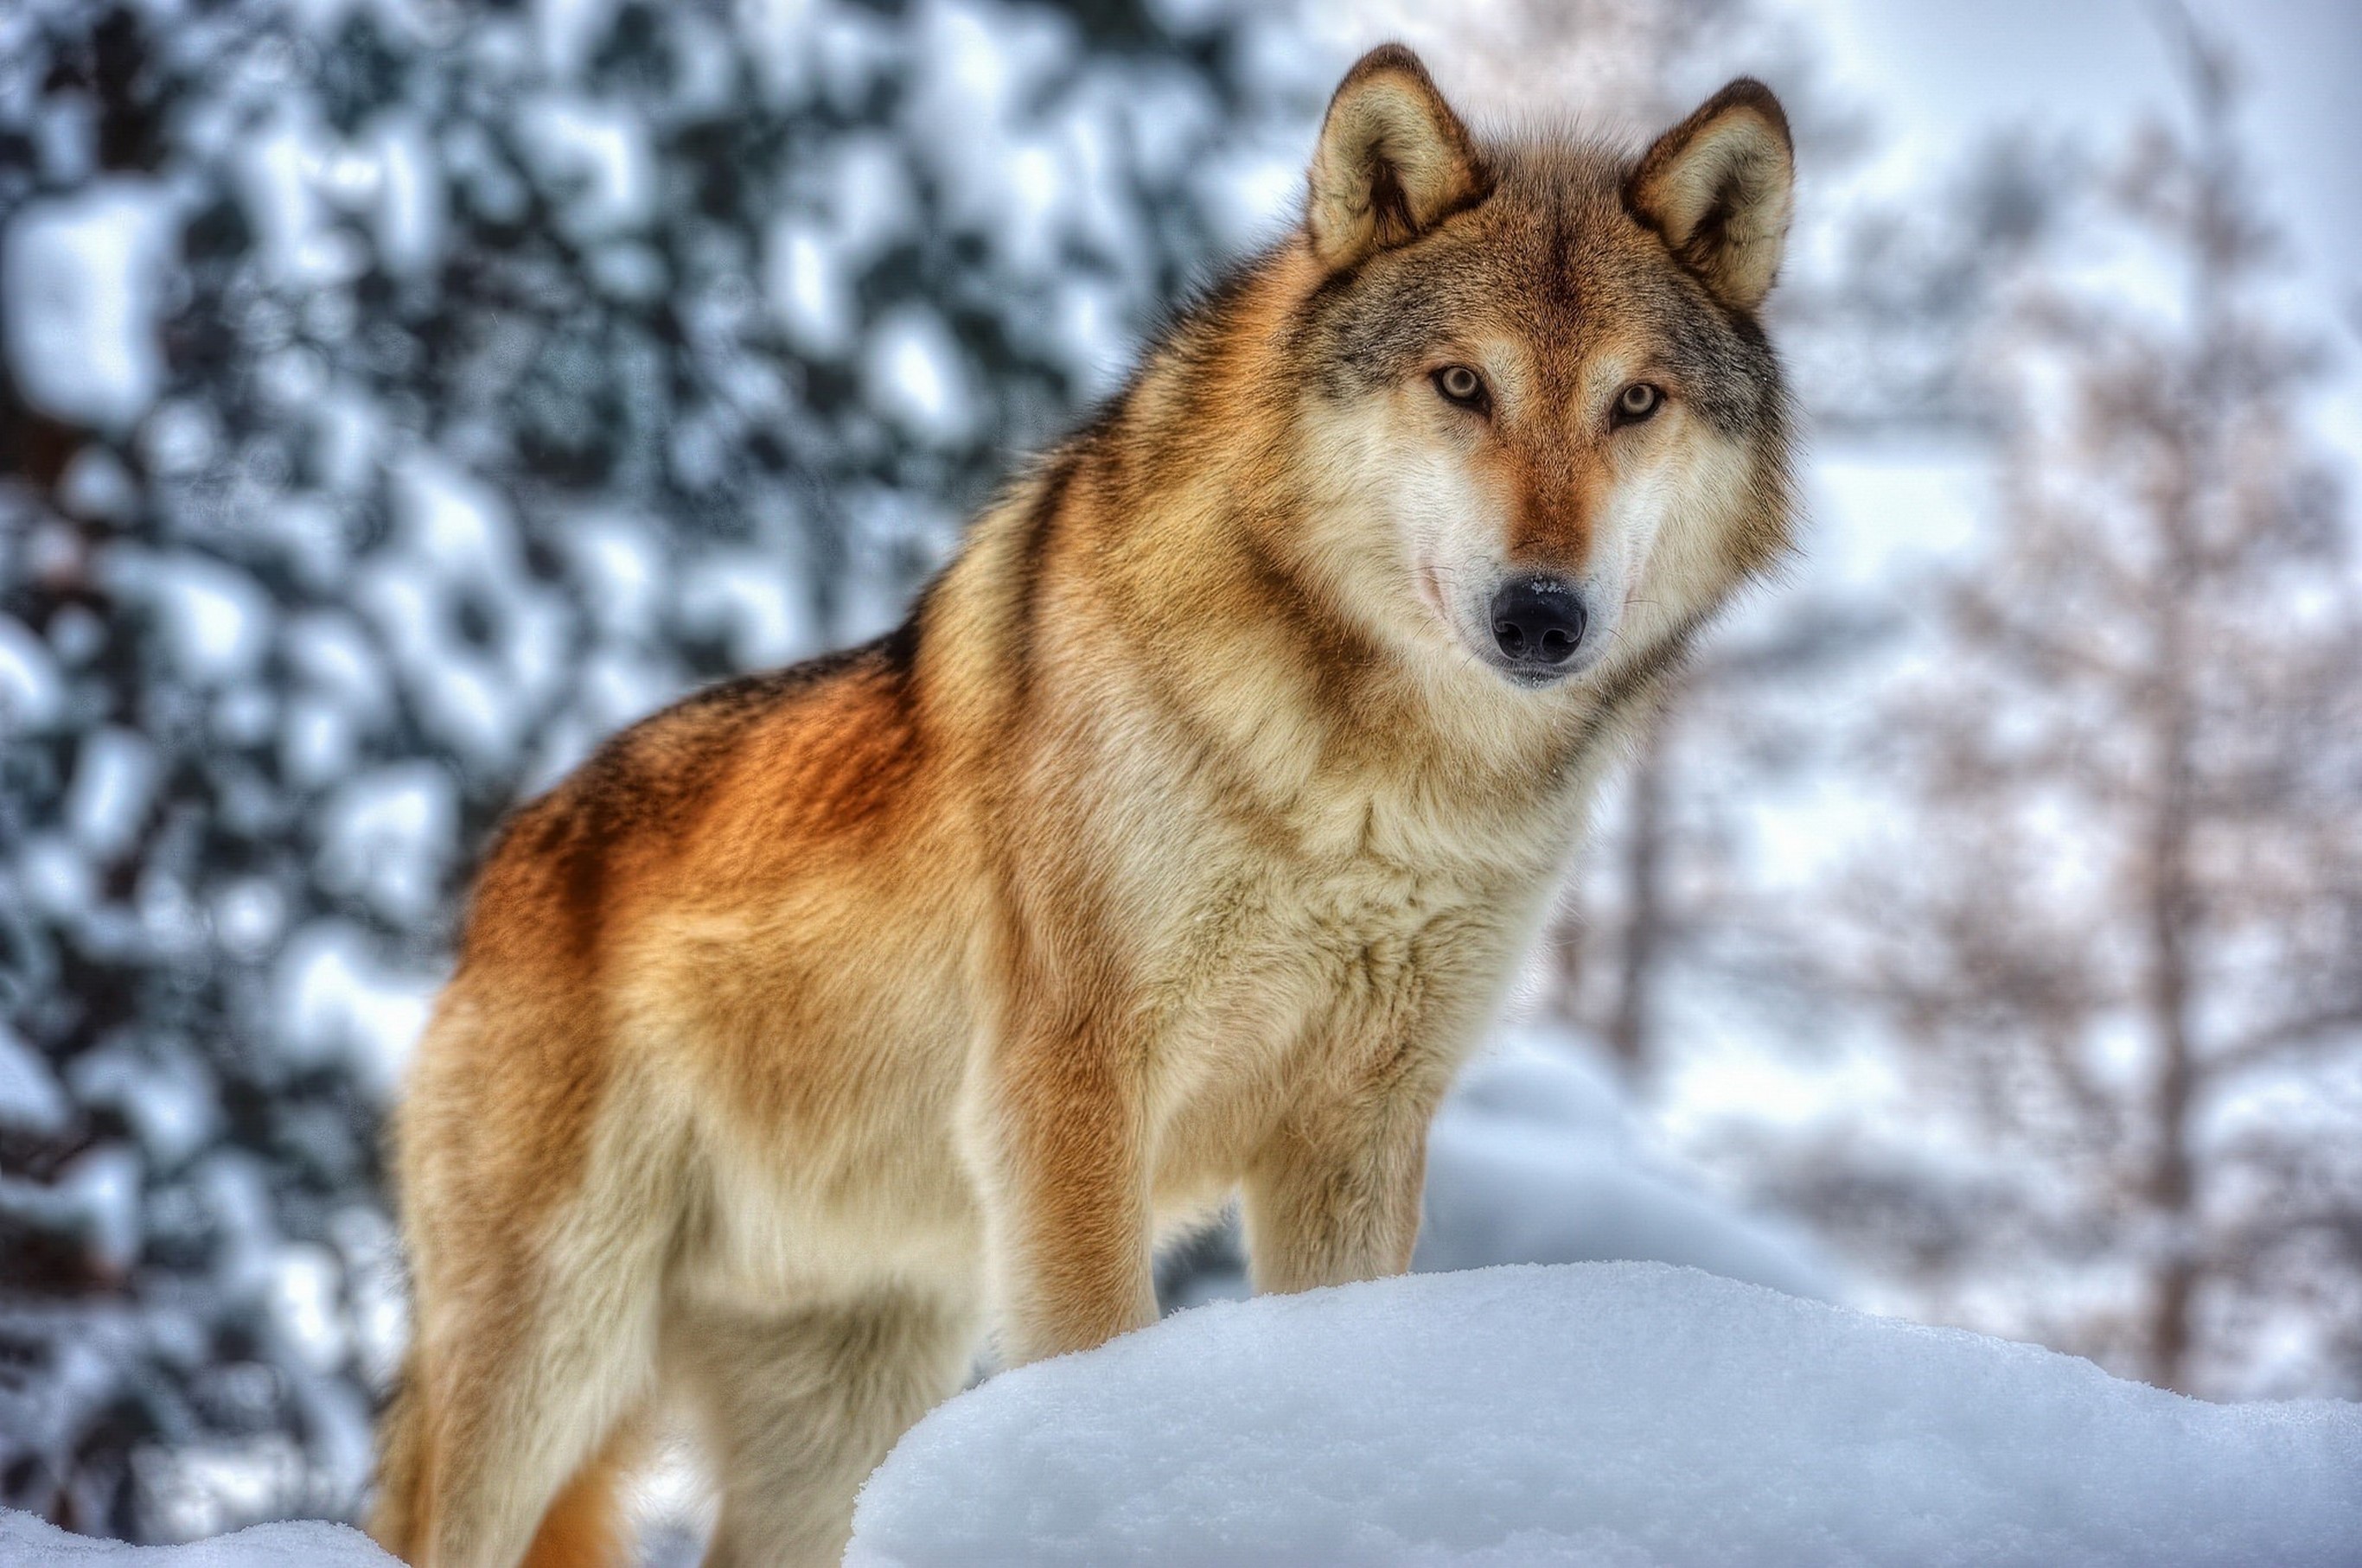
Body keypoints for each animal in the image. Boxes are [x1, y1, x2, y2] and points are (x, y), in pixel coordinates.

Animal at [378, 46, 1795, 1568]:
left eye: (1636, 401)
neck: (1381, 791)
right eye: (1462, 383)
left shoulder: (1358, 1120)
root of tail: (506, 865)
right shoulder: (1072, 1083)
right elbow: (1094, 1340)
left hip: (837, 1419)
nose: (1543, 613)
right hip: (553, 1358)